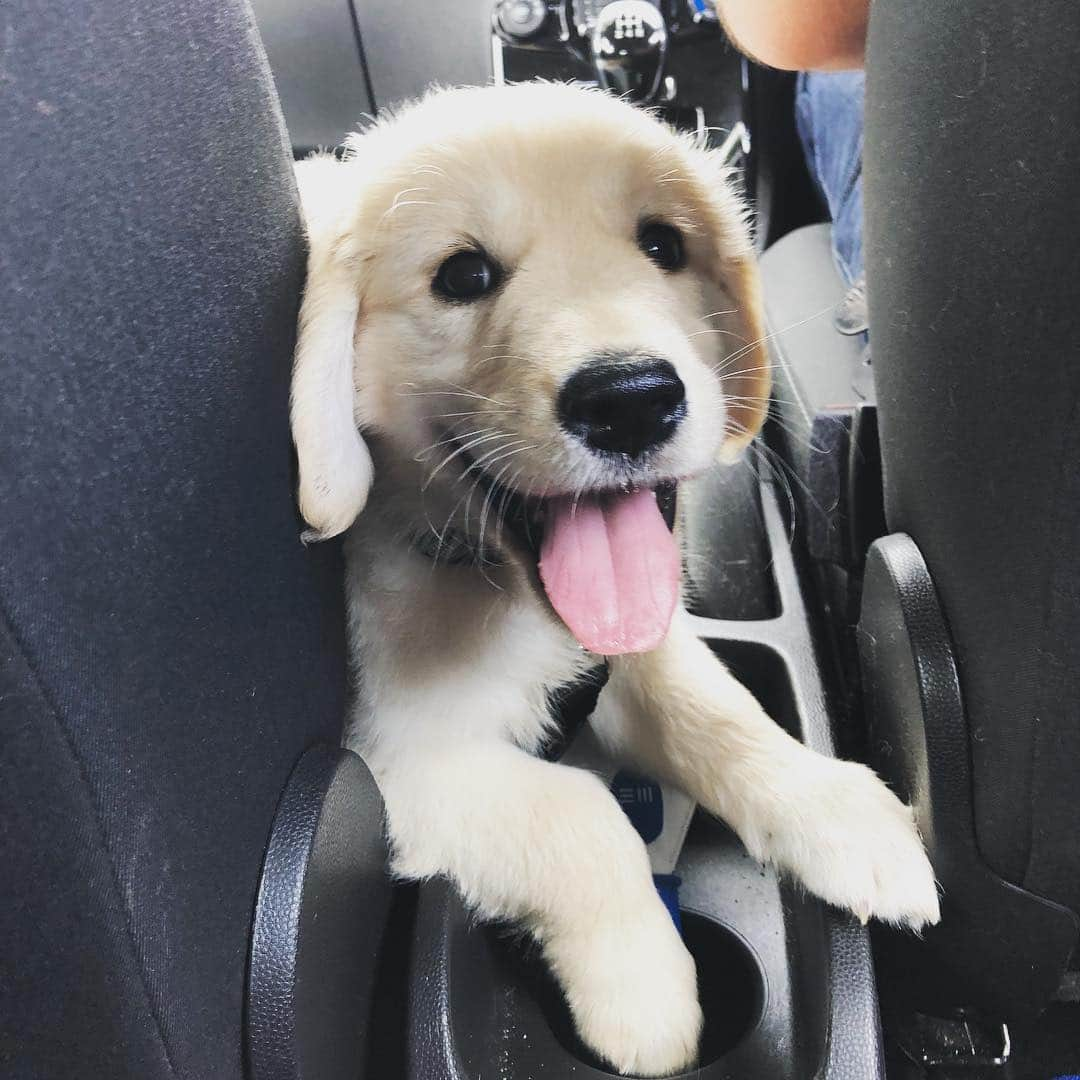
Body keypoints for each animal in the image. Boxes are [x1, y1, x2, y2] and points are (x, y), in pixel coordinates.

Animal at [287, 79, 937, 1075]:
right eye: (462, 275)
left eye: (663, 245)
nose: (629, 399)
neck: (498, 589)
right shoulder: (403, 763)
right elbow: (581, 816)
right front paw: (646, 993)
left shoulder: (641, 650)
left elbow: (719, 713)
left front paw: (838, 809)